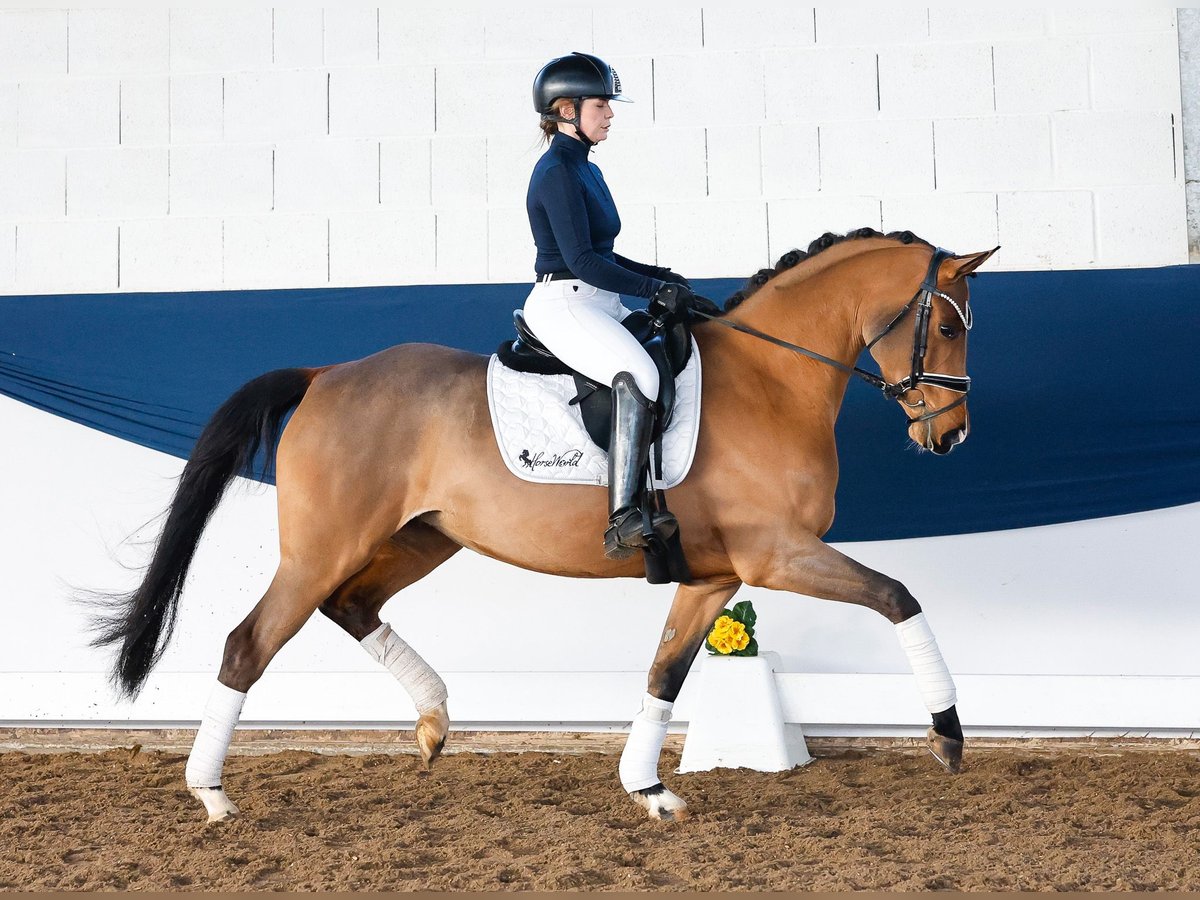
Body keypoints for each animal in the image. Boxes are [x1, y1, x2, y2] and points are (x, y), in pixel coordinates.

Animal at [91, 230, 993, 825]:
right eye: (949, 326)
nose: (951, 436)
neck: (772, 381)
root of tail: (327, 374)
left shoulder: (714, 577)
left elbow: (665, 675)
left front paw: (648, 788)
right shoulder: (776, 555)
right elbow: (898, 596)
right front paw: (948, 737)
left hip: (422, 538)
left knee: (351, 607)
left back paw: (433, 723)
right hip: (323, 547)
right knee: (250, 643)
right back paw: (212, 794)